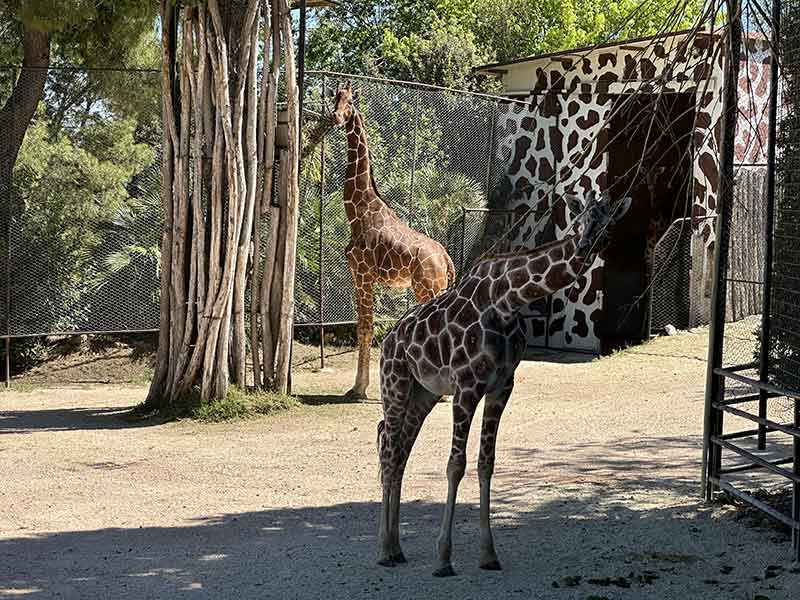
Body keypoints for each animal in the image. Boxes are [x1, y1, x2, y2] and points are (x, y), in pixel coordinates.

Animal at [332, 79, 456, 398]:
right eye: (335, 97)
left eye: (351, 101)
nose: (336, 117)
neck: (357, 211)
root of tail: (446, 258)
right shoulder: (358, 276)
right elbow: (364, 326)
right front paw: (359, 386)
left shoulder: (364, 274)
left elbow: (365, 328)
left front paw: (359, 389)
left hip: (428, 288)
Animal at [376, 190, 632, 576]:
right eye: (581, 219)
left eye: (608, 223)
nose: (585, 244)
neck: (509, 300)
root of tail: (389, 339)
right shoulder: (466, 386)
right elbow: (456, 465)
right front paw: (444, 558)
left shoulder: (501, 387)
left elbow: (487, 463)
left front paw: (488, 554)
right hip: (395, 384)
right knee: (389, 449)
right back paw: (385, 550)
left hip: (423, 394)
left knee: (400, 450)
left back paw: (397, 547)